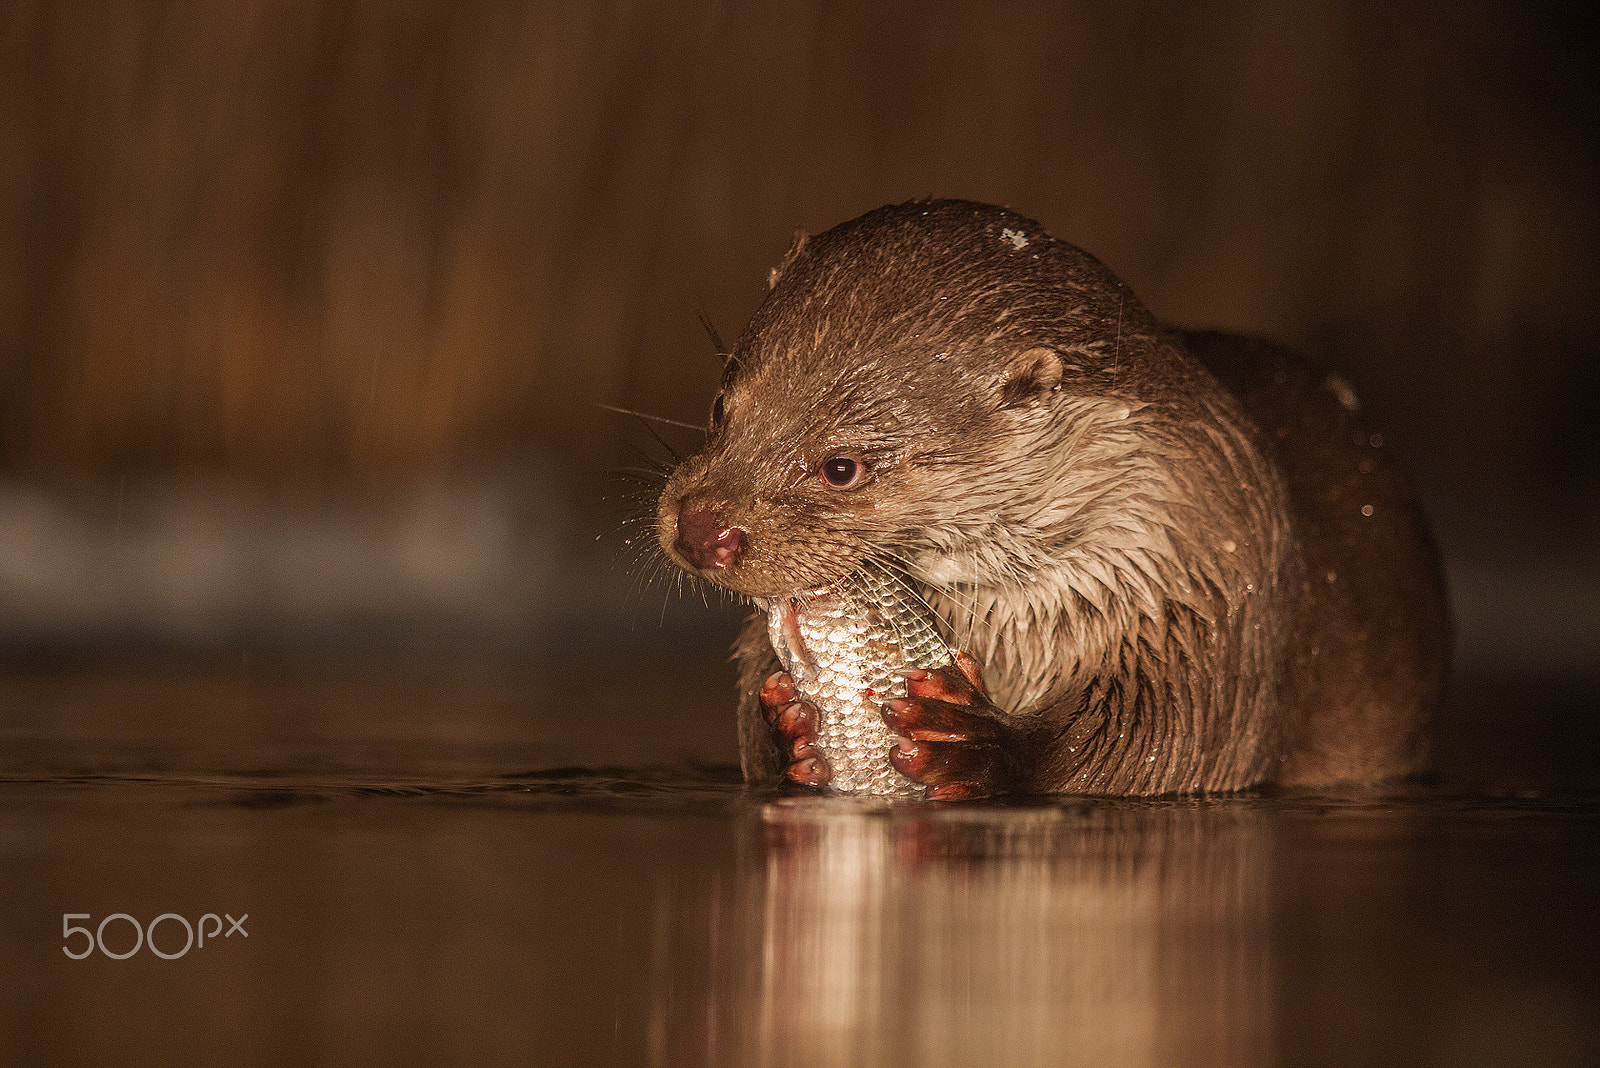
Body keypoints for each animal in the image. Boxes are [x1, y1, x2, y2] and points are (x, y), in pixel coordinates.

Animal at [656, 199, 1449, 799]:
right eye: (722, 406)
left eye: (842, 467)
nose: (702, 529)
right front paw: (788, 729)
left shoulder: (1213, 599)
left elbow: (1154, 745)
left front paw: (974, 745)